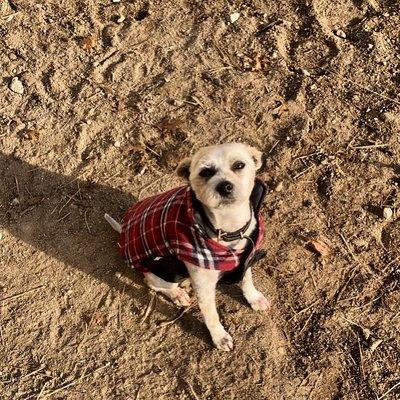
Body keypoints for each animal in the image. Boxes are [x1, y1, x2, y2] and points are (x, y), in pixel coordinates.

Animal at [104, 143, 270, 350]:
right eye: (205, 172)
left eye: (239, 165)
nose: (225, 186)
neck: (228, 227)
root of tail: (123, 233)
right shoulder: (204, 287)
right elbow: (211, 315)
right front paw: (219, 337)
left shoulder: (246, 257)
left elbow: (247, 279)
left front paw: (254, 298)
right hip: (165, 272)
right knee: (152, 283)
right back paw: (177, 294)